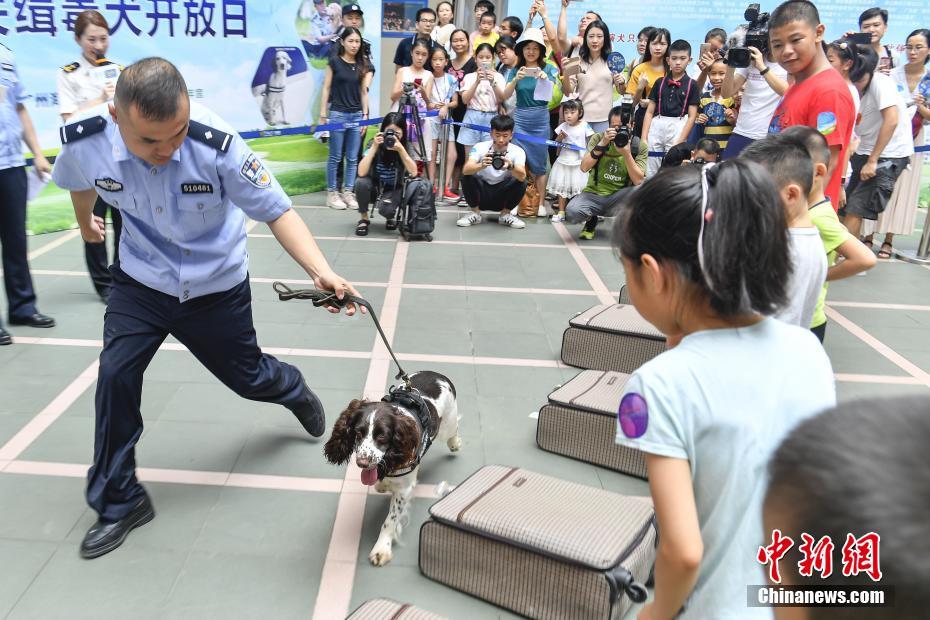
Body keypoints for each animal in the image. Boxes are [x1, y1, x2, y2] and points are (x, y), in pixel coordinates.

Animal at [322, 370, 460, 564]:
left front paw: (381, 548)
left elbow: (390, 520)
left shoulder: (403, 490)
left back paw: (455, 443)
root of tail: (436, 374)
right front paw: (381, 484)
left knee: (453, 430)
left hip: (447, 424)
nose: (362, 463)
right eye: (358, 432)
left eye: (382, 436)